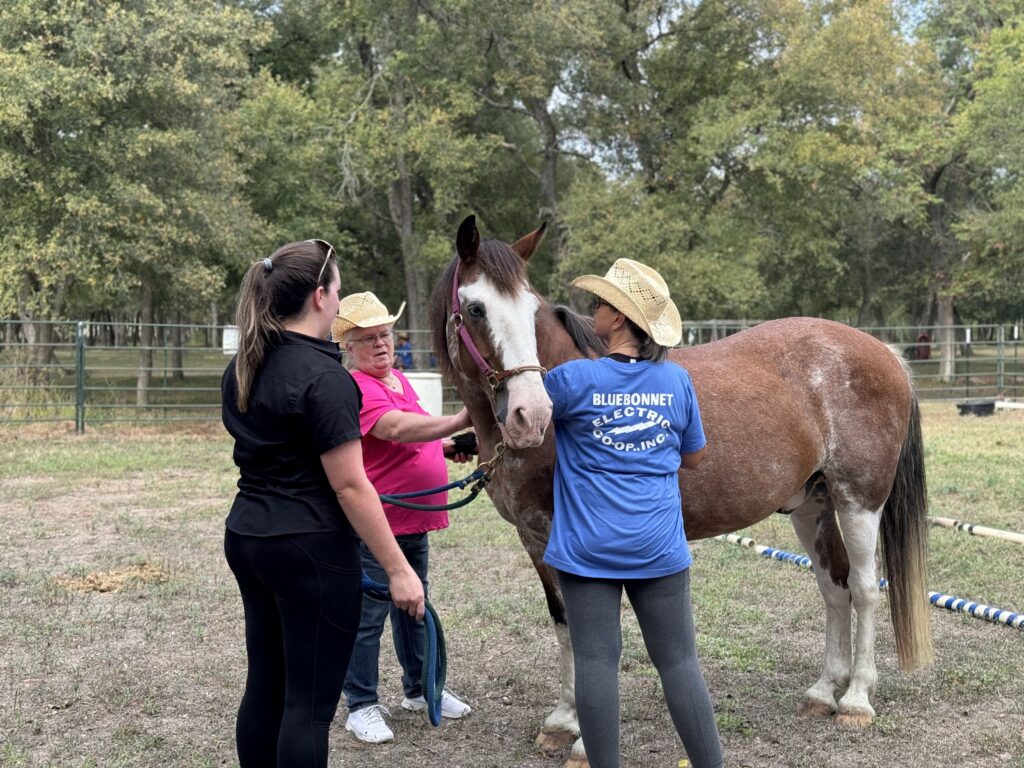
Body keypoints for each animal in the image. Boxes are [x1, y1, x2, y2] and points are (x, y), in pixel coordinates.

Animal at [432, 217, 937, 768]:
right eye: (476, 309)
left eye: (532, 308)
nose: (531, 414)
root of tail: (884, 353)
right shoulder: (537, 540)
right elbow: (565, 625)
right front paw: (563, 721)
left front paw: (585, 740)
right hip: (813, 505)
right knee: (834, 587)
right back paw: (823, 691)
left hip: (858, 501)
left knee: (865, 589)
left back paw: (857, 700)